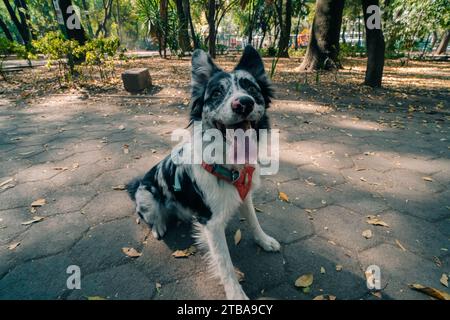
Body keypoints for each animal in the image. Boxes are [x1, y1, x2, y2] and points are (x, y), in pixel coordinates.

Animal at [126, 45, 280, 300]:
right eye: (216, 92)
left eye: (251, 88)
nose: (243, 103)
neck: (229, 165)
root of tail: (137, 183)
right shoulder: (212, 224)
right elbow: (225, 264)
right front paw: (236, 294)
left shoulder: (245, 196)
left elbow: (254, 221)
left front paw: (264, 241)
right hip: (146, 195)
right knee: (148, 215)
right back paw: (159, 226)